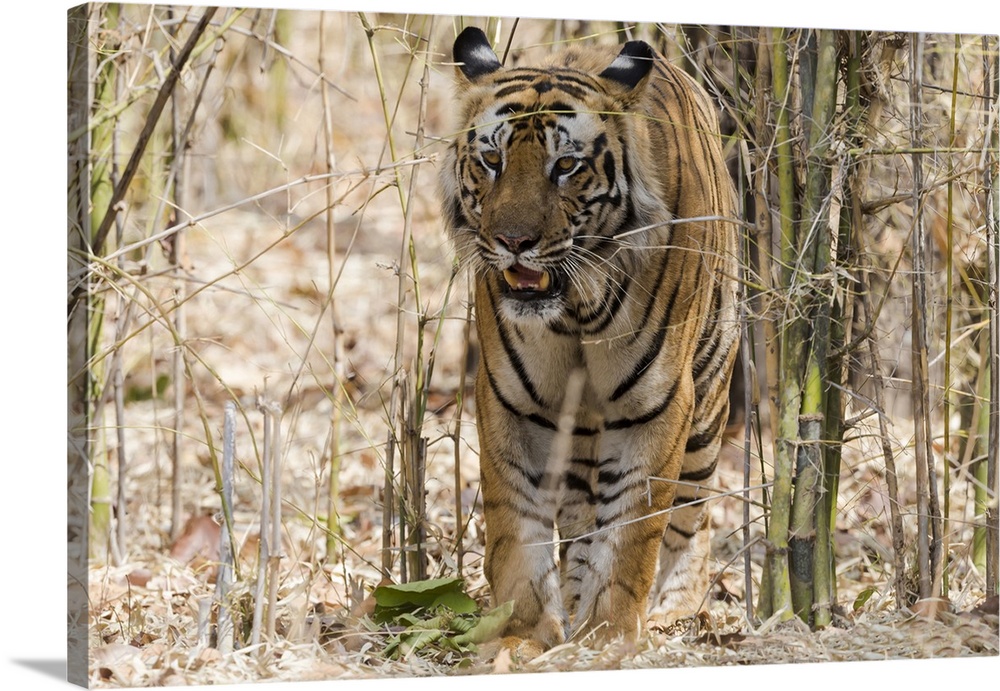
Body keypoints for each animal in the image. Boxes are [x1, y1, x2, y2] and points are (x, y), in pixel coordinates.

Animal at [440, 27, 744, 652]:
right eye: (491, 160)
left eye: (565, 166)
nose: (513, 241)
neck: (574, 310)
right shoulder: (510, 400)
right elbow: (516, 525)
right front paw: (524, 635)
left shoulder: (657, 403)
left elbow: (632, 530)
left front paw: (610, 636)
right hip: (579, 425)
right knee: (582, 515)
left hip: (708, 401)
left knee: (693, 514)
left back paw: (673, 610)